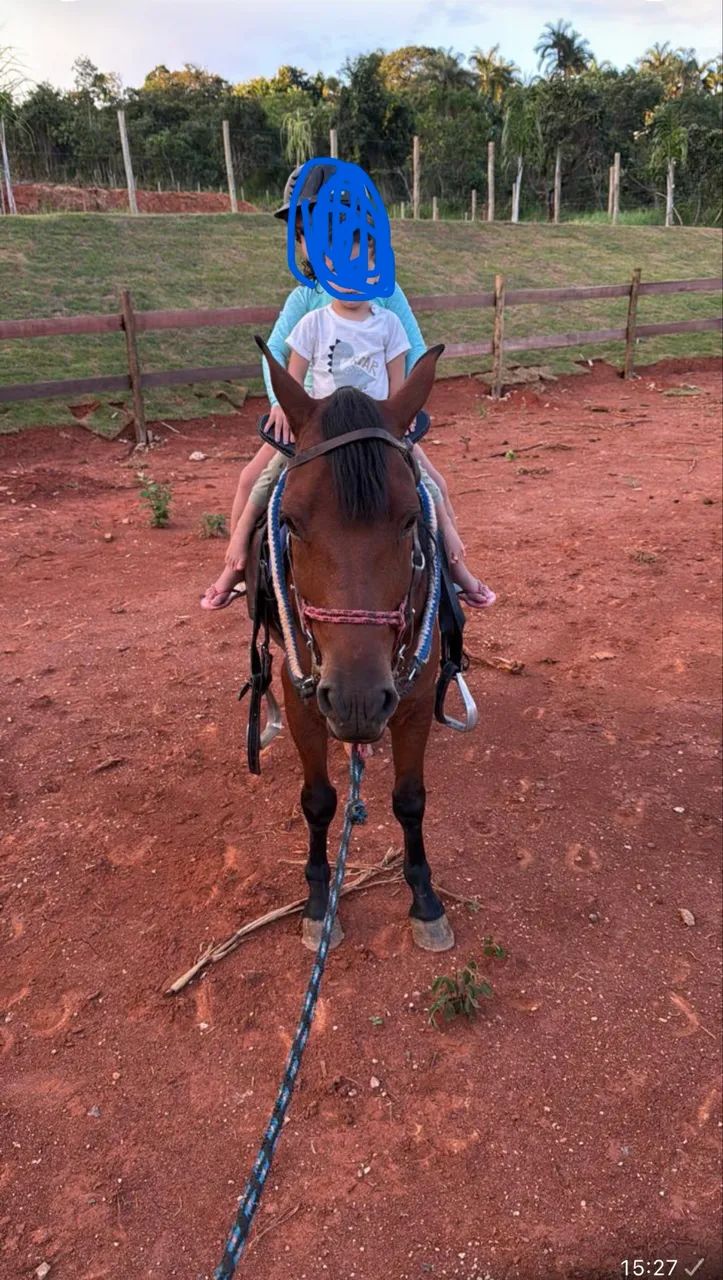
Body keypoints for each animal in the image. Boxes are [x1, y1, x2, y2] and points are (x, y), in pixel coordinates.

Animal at [246, 337, 456, 954]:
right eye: (290, 522)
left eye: (410, 520)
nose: (358, 701)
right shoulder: (301, 697)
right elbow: (317, 801)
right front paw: (320, 903)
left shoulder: (414, 699)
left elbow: (410, 800)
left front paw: (424, 898)